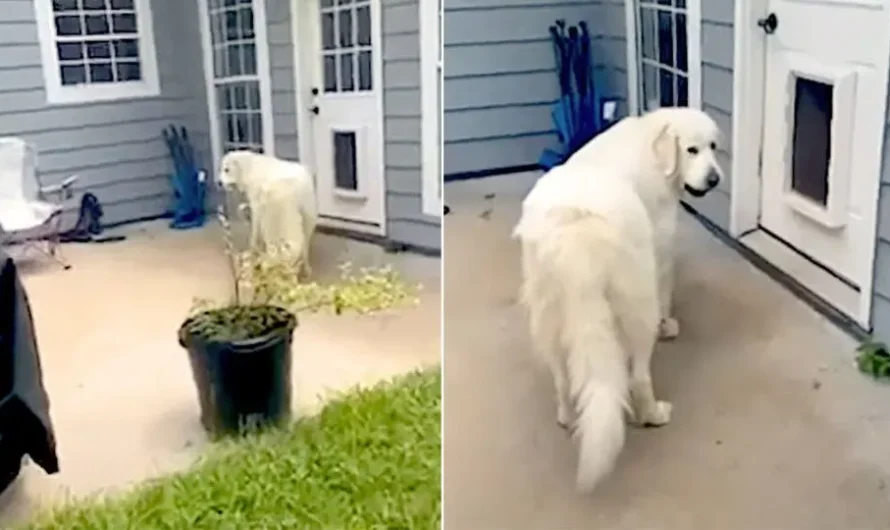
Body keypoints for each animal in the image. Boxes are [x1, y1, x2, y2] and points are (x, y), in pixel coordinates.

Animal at [512, 107, 720, 490]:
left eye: (713, 146)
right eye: (692, 150)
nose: (714, 179)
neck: (653, 143)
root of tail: (575, 226)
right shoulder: (660, 246)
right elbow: (665, 290)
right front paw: (668, 325)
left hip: (547, 309)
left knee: (562, 377)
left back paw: (567, 416)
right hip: (634, 301)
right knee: (638, 376)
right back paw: (653, 414)